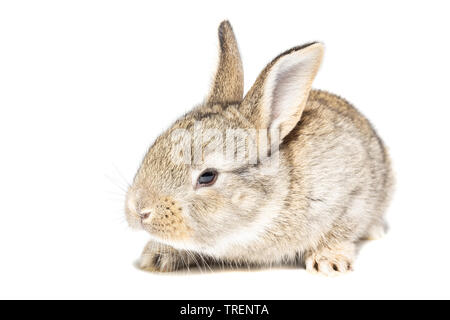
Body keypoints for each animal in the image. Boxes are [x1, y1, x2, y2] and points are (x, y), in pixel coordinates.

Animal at [125, 20, 392, 276]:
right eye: (155, 146)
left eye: (208, 176)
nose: (139, 210)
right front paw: (157, 256)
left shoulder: (351, 195)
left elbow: (341, 229)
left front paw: (328, 262)